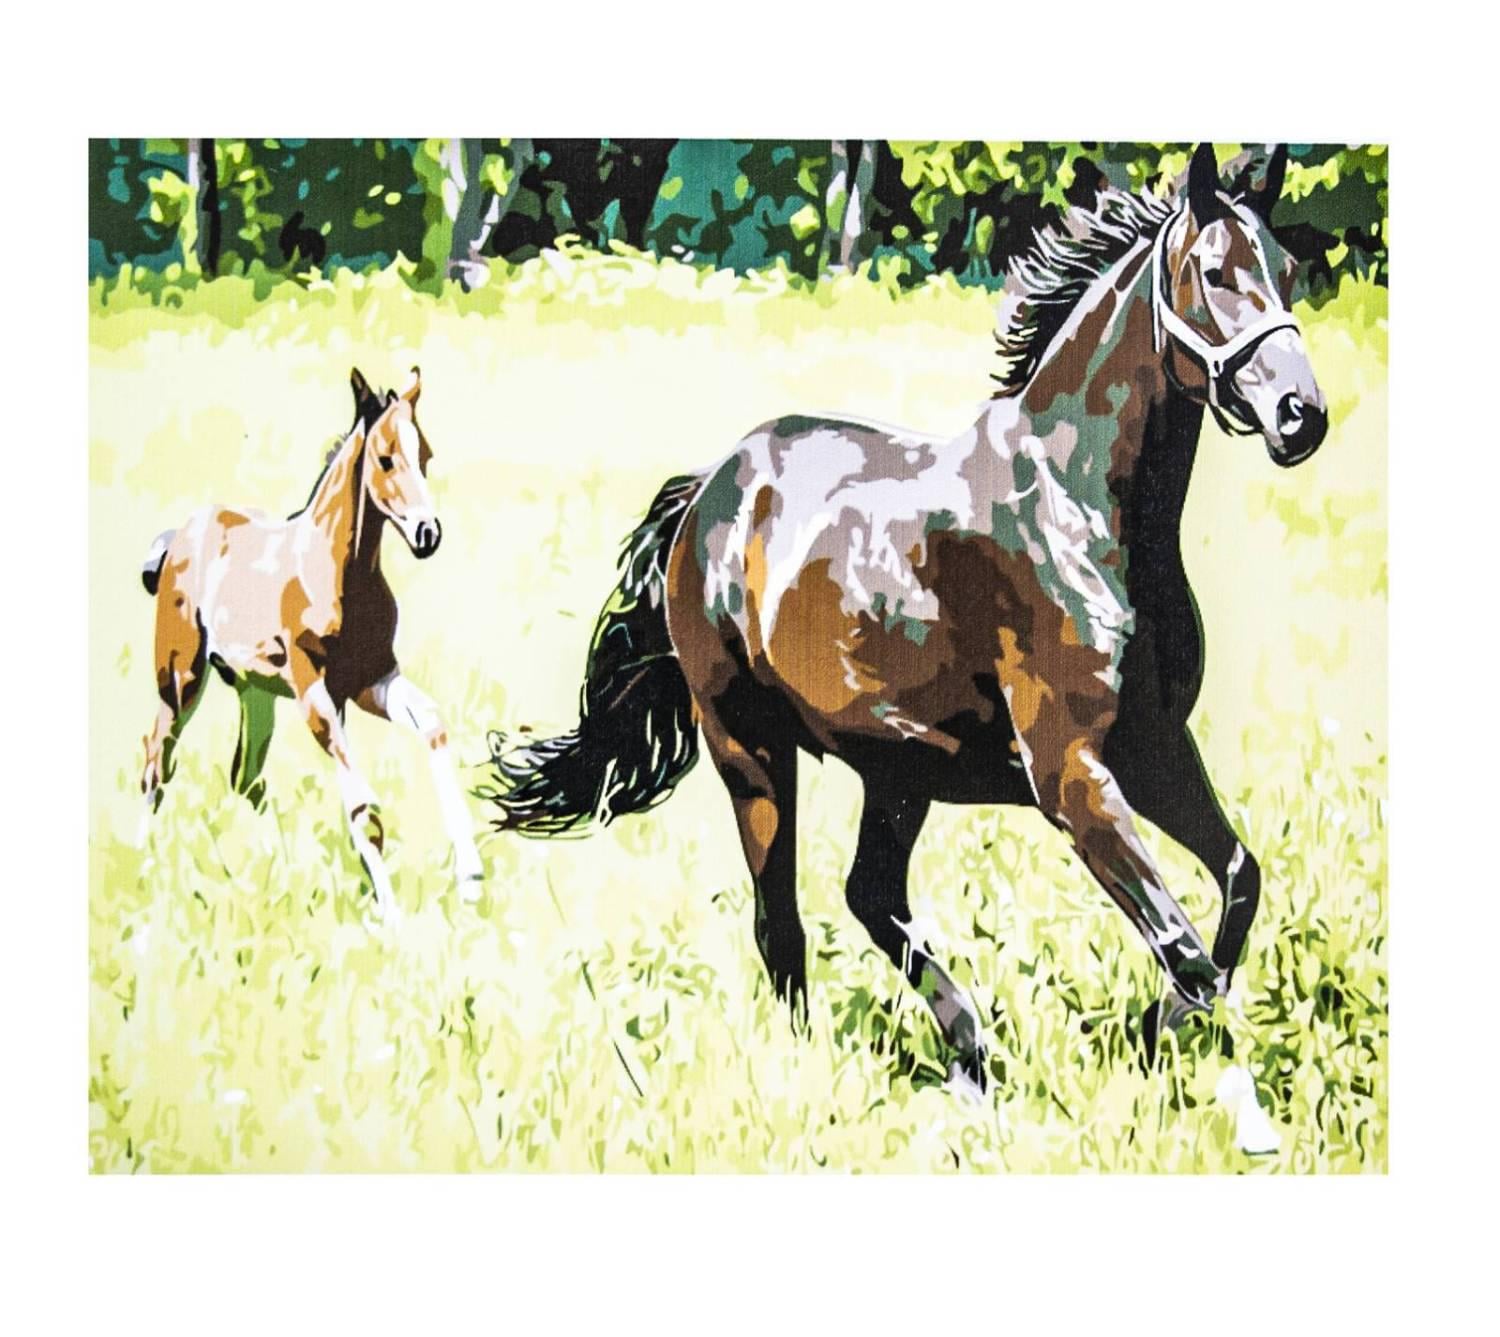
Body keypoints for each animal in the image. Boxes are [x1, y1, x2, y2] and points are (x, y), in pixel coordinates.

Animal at [138, 367, 484, 921]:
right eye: (386, 458)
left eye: (426, 456)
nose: (427, 534)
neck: (339, 572)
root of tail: (178, 537)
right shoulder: (315, 693)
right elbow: (364, 809)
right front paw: (391, 916)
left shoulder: (370, 681)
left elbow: (432, 724)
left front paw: (470, 880)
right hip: (180, 678)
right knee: (156, 762)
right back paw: (145, 865)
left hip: (254, 692)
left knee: (245, 777)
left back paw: (266, 870)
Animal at [488, 143, 1327, 1090]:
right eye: (1213, 272)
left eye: (1286, 268)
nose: (1302, 415)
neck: (1082, 508)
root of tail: (708, 490)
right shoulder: (1071, 772)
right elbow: (1184, 945)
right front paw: (1176, 1049)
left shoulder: (1153, 748)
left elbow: (1237, 884)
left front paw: (1156, 1031)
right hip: (751, 749)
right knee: (782, 922)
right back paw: (834, 1070)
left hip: (899, 770)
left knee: (871, 895)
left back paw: (973, 1053)